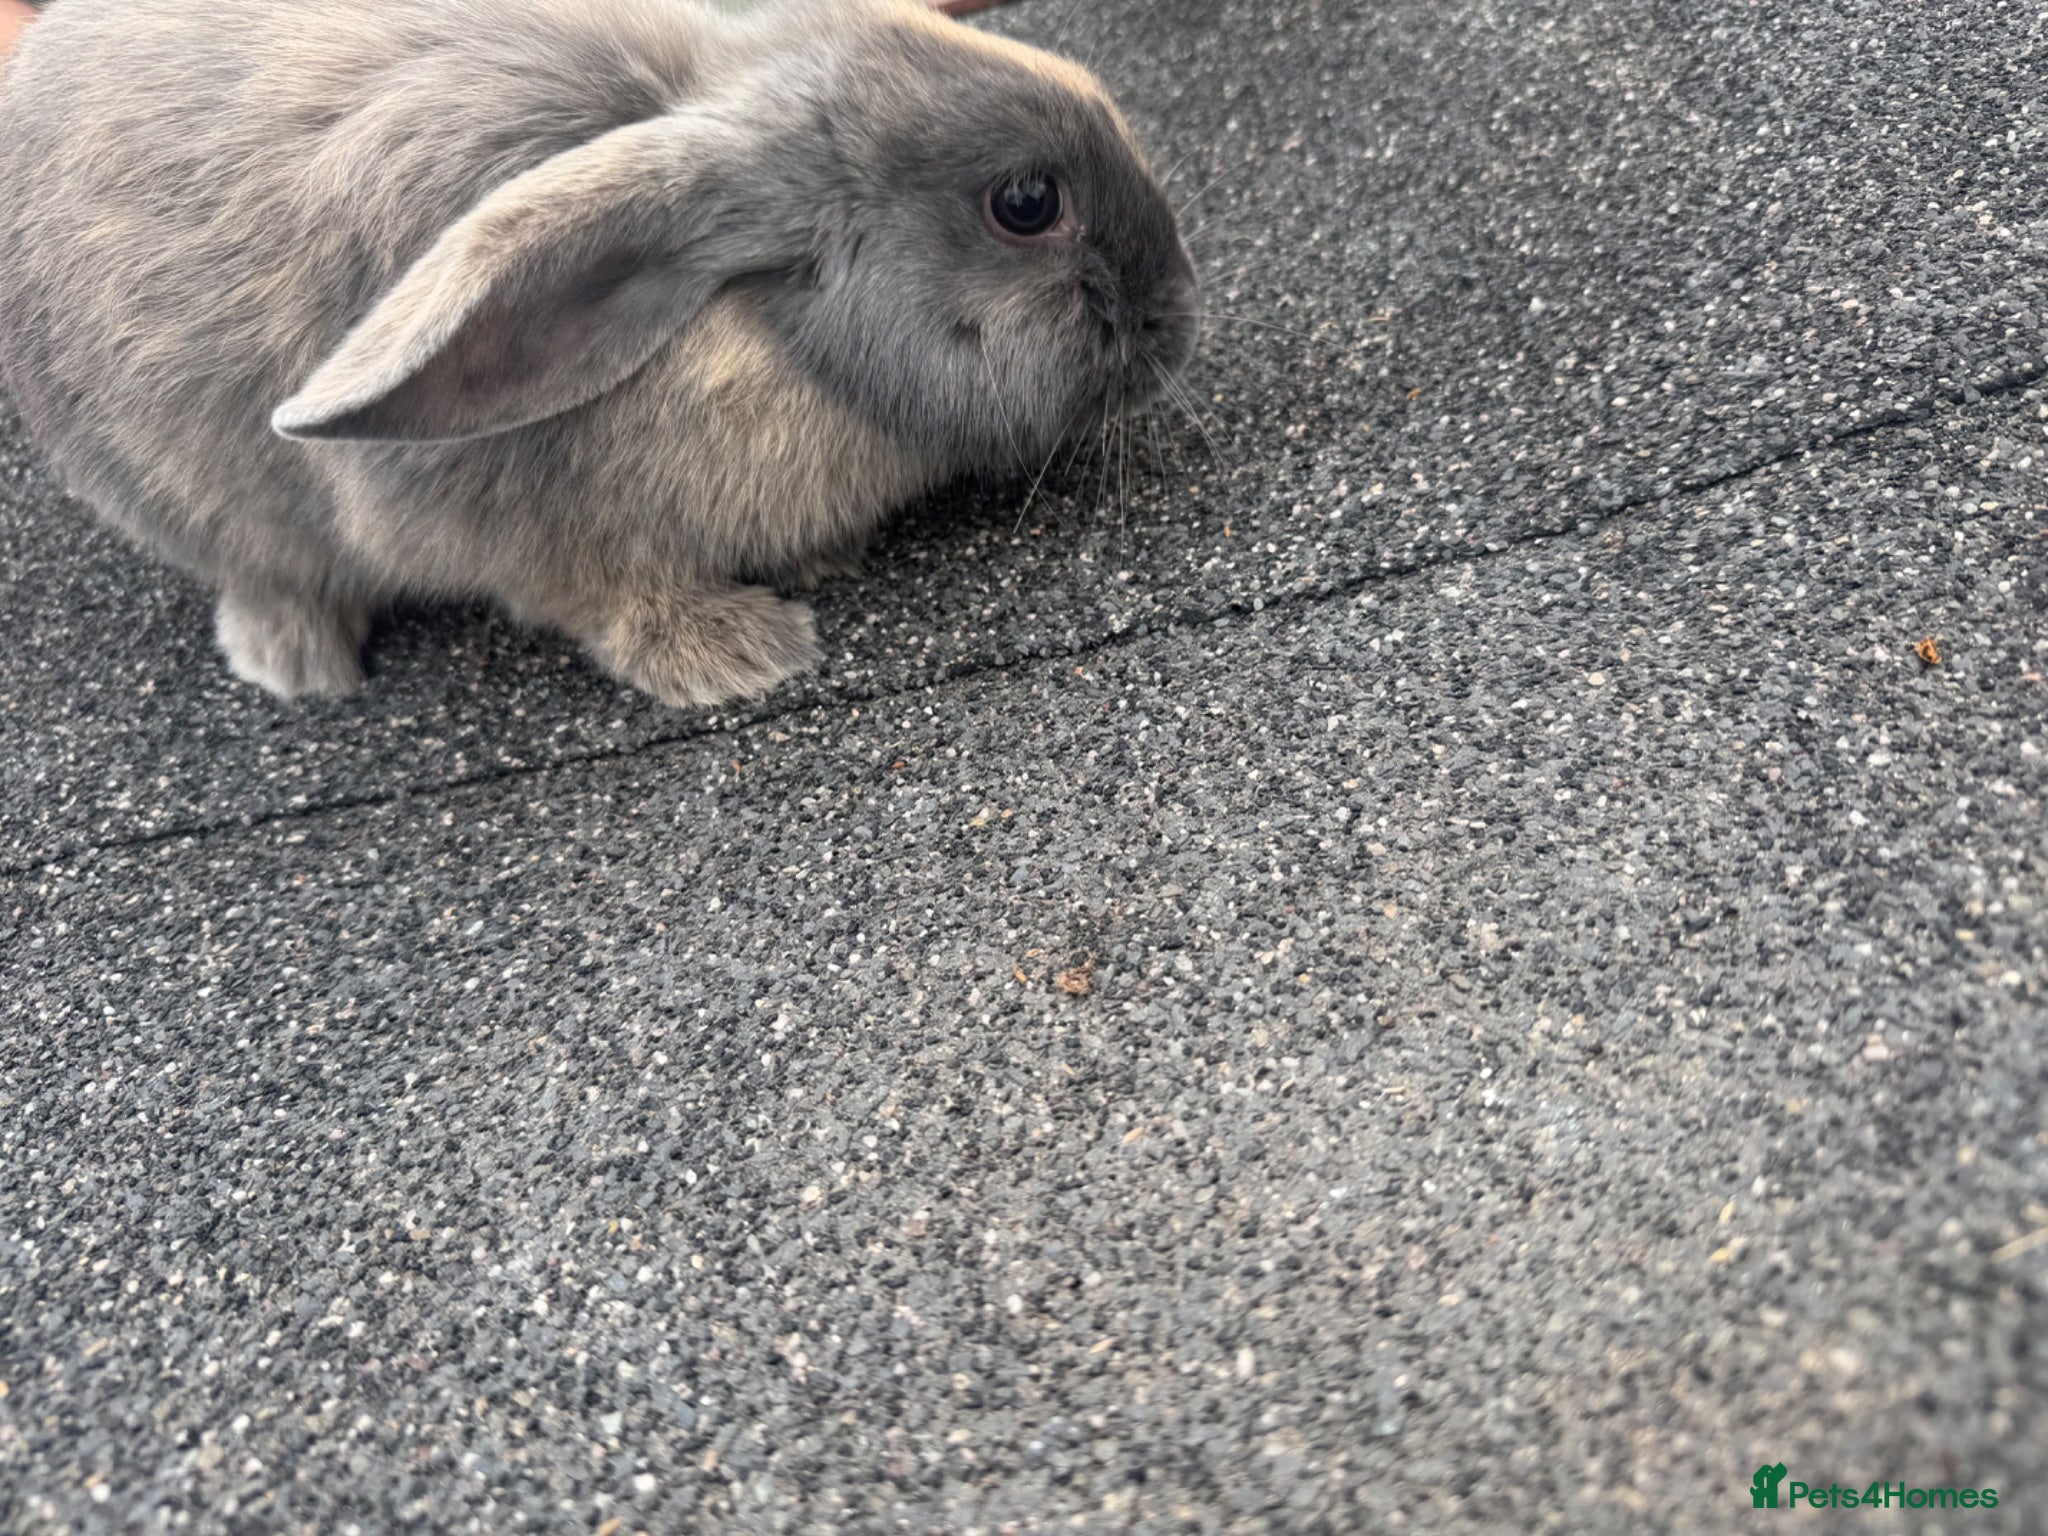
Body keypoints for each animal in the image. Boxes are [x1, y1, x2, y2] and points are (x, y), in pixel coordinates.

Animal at [0, 0, 1199, 705]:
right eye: (1025, 203)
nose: (1178, 316)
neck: (746, 328)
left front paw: (822, 561)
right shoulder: (527, 541)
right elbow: (610, 605)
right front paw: (749, 653)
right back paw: (302, 666)